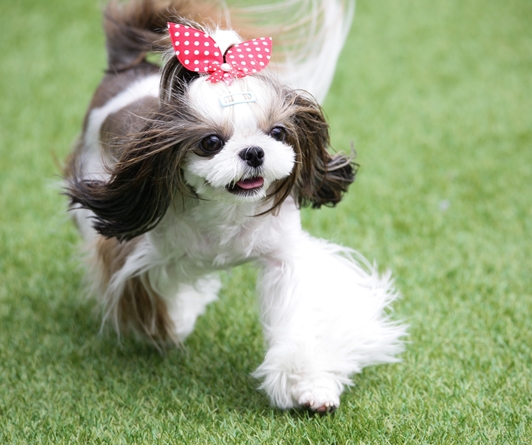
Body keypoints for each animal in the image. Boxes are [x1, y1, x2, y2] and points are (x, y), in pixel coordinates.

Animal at [64, 0, 406, 413]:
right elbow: (156, 296)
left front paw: (306, 385)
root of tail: (125, 66)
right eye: (211, 142)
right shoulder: (132, 252)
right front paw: (177, 321)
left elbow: (299, 317)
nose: (254, 151)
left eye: (277, 132)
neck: (226, 212)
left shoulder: (283, 258)